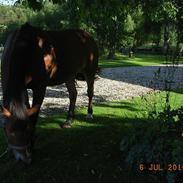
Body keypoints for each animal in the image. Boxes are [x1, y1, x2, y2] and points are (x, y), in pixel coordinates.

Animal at [0, 22, 98, 164]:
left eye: (27, 130)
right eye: (7, 130)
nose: (24, 159)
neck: (26, 47)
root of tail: (87, 36)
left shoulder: (39, 88)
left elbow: (34, 115)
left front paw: (32, 145)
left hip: (89, 72)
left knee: (90, 92)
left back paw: (89, 114)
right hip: (69, 75)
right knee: (73, 94)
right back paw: (69, 120)